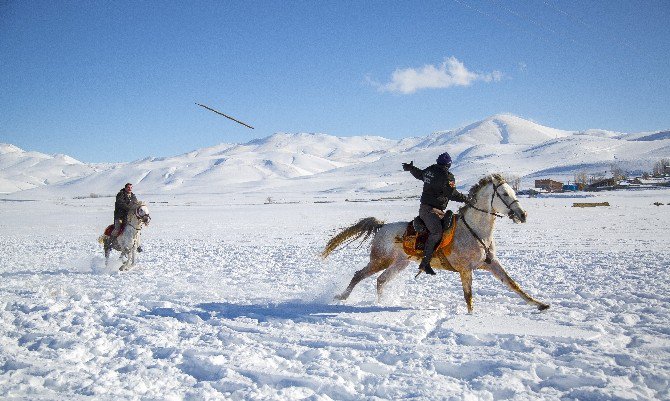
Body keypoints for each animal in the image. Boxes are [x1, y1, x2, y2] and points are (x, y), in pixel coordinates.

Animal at [324, 174, 552, 312]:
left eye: (514, 192)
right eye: (504, 194)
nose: (522, 215)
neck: (475, 230)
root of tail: (383, 227)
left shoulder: (490, 264)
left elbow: (513, 284)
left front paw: (540, 304)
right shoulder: (465, 269)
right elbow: (468, 296)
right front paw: (471, 316)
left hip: (400, 263)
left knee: (381, 280)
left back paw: (380, 304)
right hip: (380, 260)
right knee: (359, 275)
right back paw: (342, 296)